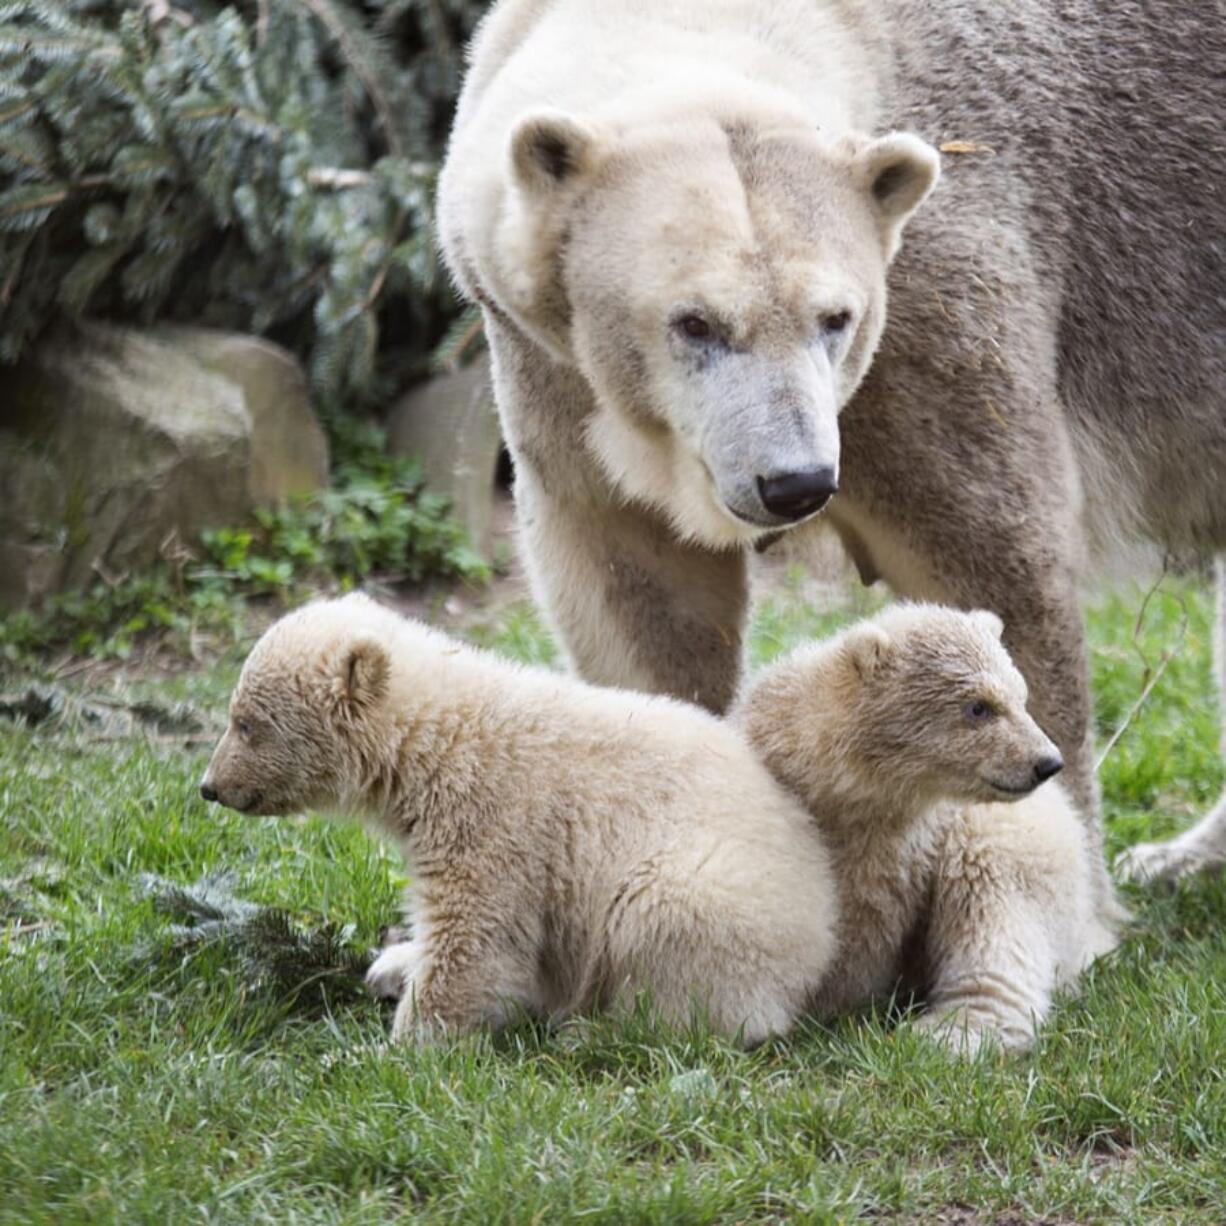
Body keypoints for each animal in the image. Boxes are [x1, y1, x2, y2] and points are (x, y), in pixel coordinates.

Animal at [441, 0, 1226, 902]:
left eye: (835, 318)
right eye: (694, 323)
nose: (795, 483)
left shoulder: (935, 304)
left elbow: (993, 564)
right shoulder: (551, 369)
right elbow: (640, 597)